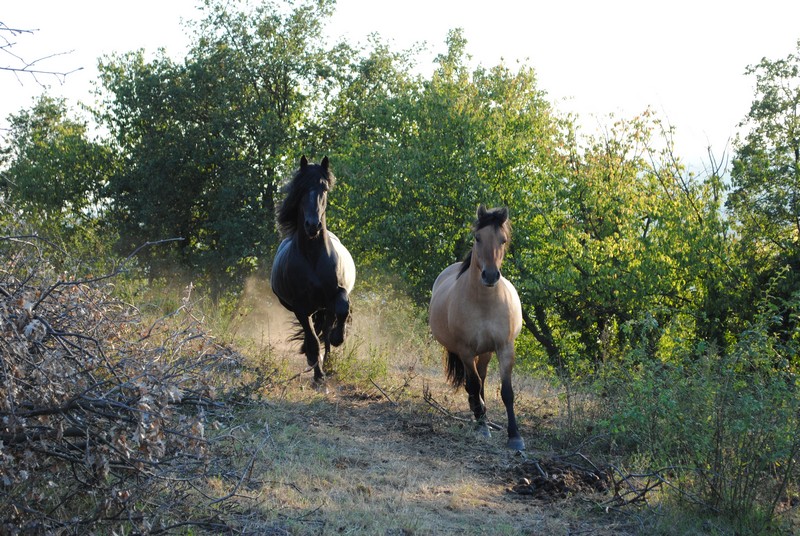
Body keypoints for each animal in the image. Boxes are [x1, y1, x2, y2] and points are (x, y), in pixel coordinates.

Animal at [270, 155, 354, 382]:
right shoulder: (300, 307)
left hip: (325, 307)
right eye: (302, 188)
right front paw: (318, 375)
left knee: (326, 326)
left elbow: (342, 310)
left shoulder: (337, 293)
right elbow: (313, 339)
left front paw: (338, 338)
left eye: (324, 188)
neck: (314, 257)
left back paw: (330, 357)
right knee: (313, 334)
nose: (312, 225)